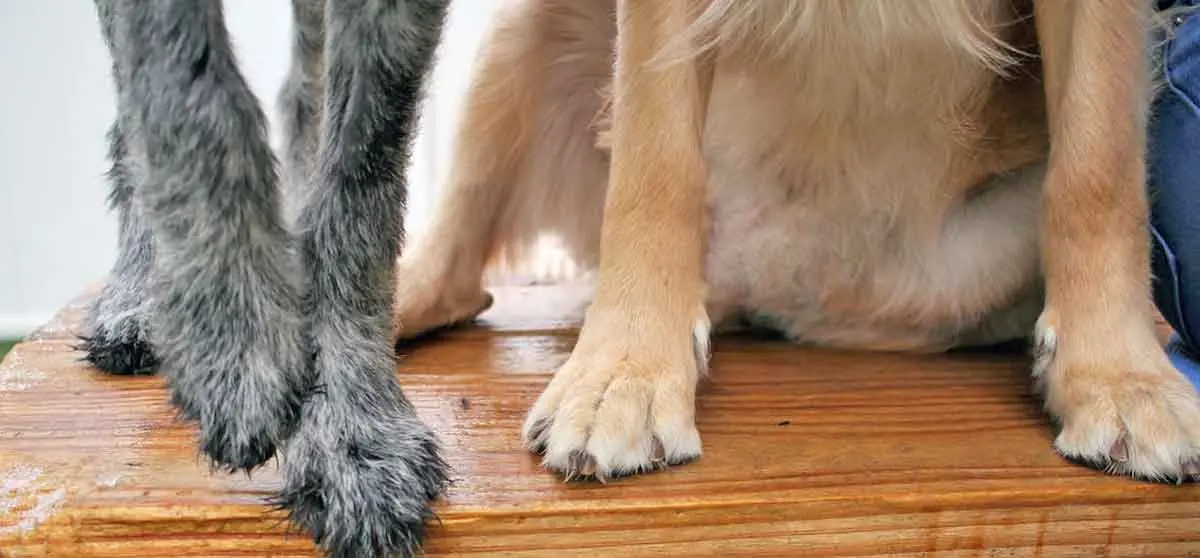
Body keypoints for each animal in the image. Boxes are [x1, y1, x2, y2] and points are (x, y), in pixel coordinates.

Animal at [76, 2, 451, 554]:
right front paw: (236, 344)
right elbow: (193, 99)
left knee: (301, 95)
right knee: (130, 111)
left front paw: (351, 429)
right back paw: (137, 296)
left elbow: (358, 171)